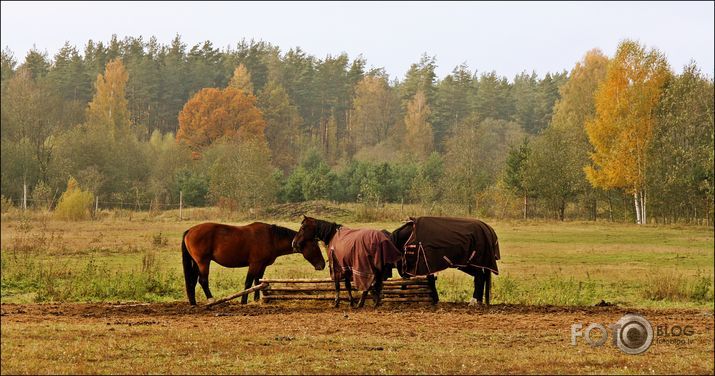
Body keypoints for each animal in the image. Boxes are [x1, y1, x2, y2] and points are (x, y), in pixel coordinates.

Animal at [180, 220, 326, 306]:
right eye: (314, 246)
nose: (322, 264)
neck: (271, 237)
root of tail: (190, 231)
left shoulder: (262, 265)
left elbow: (257, 281)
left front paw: (256, 299)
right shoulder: (254, 264)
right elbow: (248, 282)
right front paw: (243, 301)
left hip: (196, 263)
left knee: (192, 281)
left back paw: (193, 302)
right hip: (203, 262)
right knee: (203, 280)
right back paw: (212, 300)